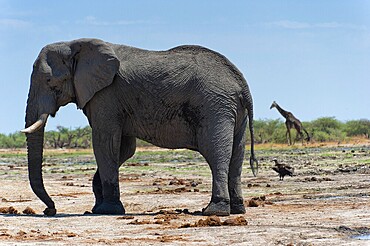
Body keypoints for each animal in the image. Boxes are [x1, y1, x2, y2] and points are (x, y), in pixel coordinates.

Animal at [22, 37, 258, 216]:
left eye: (50, 81)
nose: (50, 210)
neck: (75, 44)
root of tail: (242, 85)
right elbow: (124, 149)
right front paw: (98, 208)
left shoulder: (106, 95)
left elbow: (105, 143)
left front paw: (108, 210)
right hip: (232, 111)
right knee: (236, 156)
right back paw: (238, 210)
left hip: (214, 106)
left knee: (216, 153)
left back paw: (214, 211)